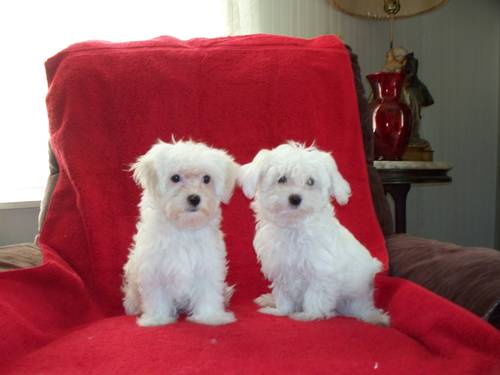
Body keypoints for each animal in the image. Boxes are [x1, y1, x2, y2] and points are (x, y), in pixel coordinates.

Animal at [121, 140, 238, 328]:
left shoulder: (208, 264)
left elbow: (208, 292)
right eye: (175, 178)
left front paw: (210, 317)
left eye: (206, 179)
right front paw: (157, 319)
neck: (183, 229)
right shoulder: (153, 268)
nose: (194, 198)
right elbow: (156, 295)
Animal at [240, 142, 388, 326]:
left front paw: (308, 315)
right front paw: (280, 311)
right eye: (282, 179)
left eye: (310, 181)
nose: (295, 198)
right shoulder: (281, 269)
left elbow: (315, 295)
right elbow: (283, 295)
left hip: (354, 298)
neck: (294, 227)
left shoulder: (321, 273)